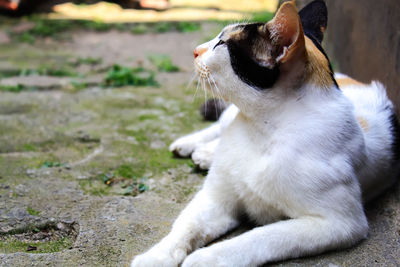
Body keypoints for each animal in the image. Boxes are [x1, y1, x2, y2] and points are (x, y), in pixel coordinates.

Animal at [130, 1, 396, 266]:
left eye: (222, 44)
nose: (195, 50)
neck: (260, 129)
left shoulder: (341, 222)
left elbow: (262, 237)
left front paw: (206, 258)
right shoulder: (215, 197)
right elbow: (186, 224)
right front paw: (156, 256)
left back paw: (204, 154)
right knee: (219, 125)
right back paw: (192, 146)